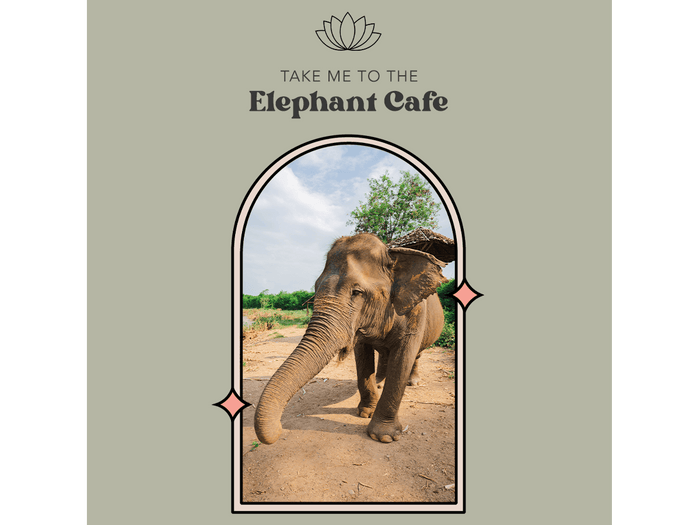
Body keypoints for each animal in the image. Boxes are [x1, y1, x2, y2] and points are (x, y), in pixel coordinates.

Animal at [254, 232, 448, 444]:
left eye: (356, 292)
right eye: (316, 287)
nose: (280, 429)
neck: (391, 255)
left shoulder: (415, 311)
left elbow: (403, 357)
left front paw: (383, 437)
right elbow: (362, 356)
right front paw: (365, 413)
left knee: (416, 354)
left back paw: (412, 382)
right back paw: (379, 381)